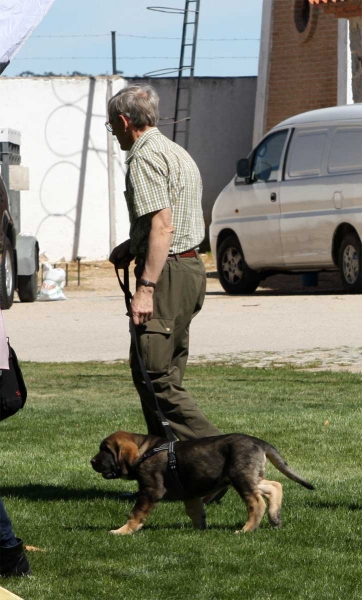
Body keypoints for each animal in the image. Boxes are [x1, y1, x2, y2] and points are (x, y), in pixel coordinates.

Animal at [91, 428, 314, 536]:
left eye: (105, 450)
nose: (92, 461)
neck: (145, 451)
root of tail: (260, 442)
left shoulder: (150, 489)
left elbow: (135, 513)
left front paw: (124, 531)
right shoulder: (190, 494)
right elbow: (196, 512)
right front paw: (200, 529)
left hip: (240, 476)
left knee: (257, 503)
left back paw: (247, 529)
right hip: (249, 476)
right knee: (275, 486)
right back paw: (275, 517)